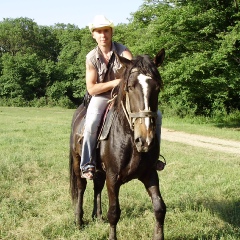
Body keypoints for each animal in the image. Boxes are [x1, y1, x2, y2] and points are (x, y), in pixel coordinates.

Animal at [69, 48, 166, 240]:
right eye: (130, 87)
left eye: (157, 88)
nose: (145, 139)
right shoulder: (113, 178)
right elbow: (114, 213)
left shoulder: (150, 174)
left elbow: (159, 208)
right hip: (78, 162)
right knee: (81, 187)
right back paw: (79, 220)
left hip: (99, 169)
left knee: (97, 187)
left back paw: (97, 216)